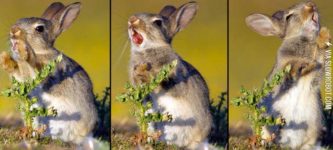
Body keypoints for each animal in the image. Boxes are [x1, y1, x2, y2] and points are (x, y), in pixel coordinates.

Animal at [244, 1, 330, 150]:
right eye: (289, 17)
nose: (311, 4)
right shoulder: (284, 73)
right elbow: (291, 70)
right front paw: (303, 64)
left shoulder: (315, 76)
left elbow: (319, 60)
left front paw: (324, 36)